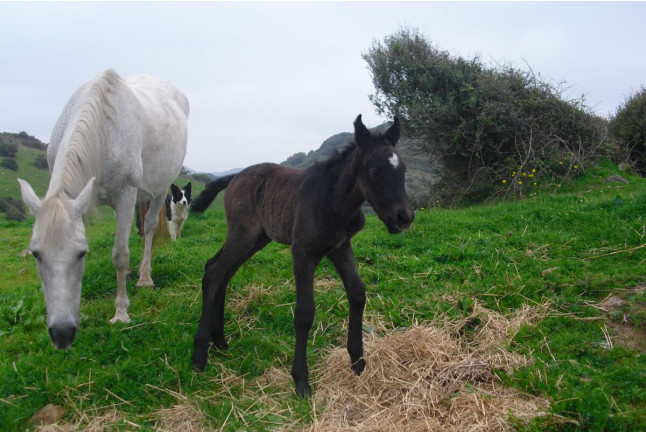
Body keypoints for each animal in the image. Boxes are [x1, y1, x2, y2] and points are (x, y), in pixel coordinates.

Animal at [18, 69, 189, 350]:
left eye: (81, 254)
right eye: (36, 254)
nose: (62, 333)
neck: (103, 131)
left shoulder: (126, 195)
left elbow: (120, 254)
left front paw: (121, 313)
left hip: (160, 189)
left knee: (150, 226)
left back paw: (144, 277)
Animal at [190, 115, 414, 396]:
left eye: (403, 169)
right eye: (374, 171)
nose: (404, 217)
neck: (334, 201)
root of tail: (234, 177)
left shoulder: (340, 247)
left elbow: (357, 293)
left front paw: (358, 361)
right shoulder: (303, 253)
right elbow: (305, 312)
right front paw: (301, 381)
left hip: (256, 239)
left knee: (221, 272)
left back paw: (219, 340)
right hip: (243, 234)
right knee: (214, 272)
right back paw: (200, 354)